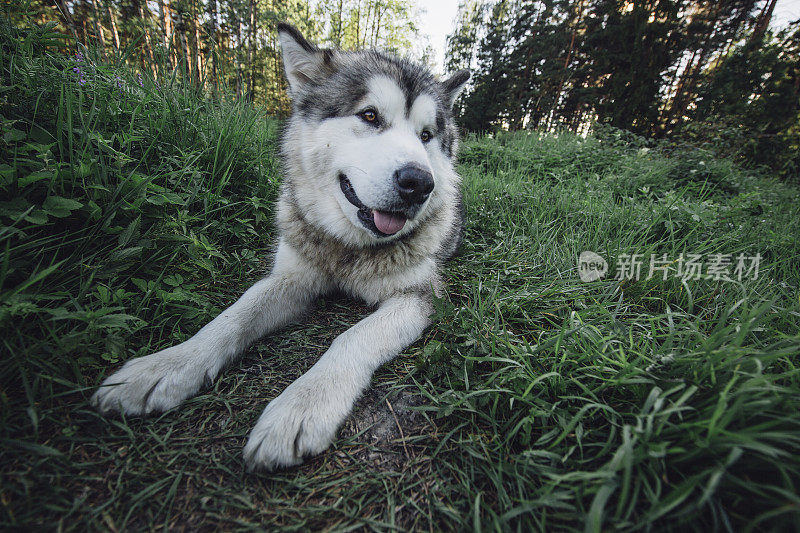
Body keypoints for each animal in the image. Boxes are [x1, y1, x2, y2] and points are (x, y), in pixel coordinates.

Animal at [91, 22, 472, 468]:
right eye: (370, 115)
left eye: (426, 135)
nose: (419, 183)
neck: (348, 250)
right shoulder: (291, 277)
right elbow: (233, 317)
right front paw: (167, 365)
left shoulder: (418, 296)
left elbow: (353, 337)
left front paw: (303, 405)